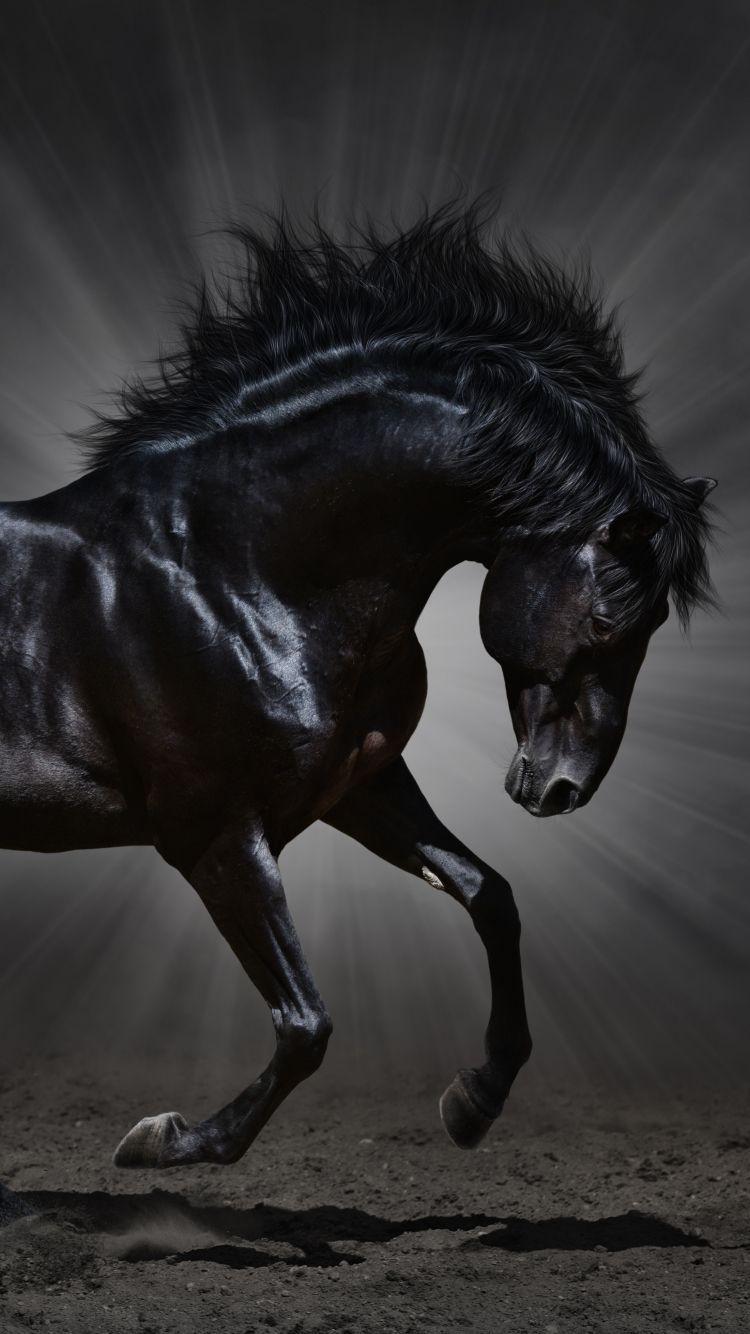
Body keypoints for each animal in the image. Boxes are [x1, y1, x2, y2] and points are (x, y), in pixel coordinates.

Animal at [0, 206, 714, 1171]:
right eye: (612, 619)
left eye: (654, 625)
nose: (562, 788)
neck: (232, 570)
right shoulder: (215, 836)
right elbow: (306, 1024)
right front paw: (166, 1140)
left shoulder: (359, 786)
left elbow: (489, 896)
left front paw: (474, 1101)